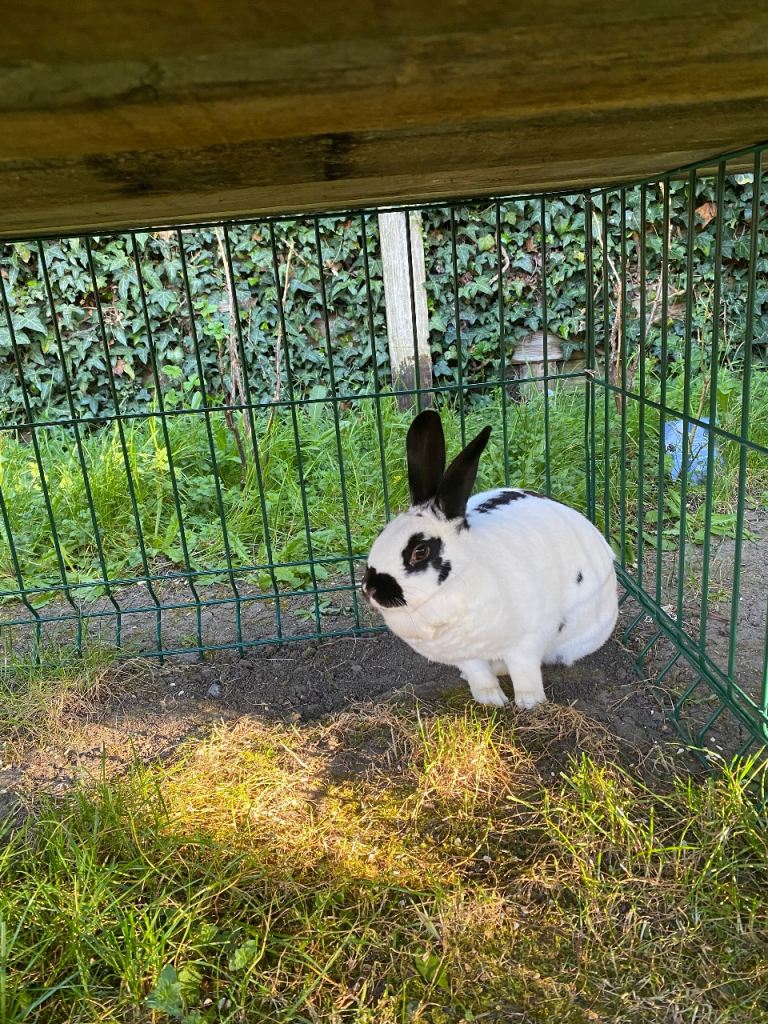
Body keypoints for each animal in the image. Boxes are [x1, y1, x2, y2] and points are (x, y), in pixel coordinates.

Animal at [361, 409, 618, 709]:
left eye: (420, 551)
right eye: (381, 535)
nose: (370, 589)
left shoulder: (526, 643)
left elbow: (525, 672)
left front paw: (530, 703)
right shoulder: (465, 654)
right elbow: (478, 674)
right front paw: (490, 699)